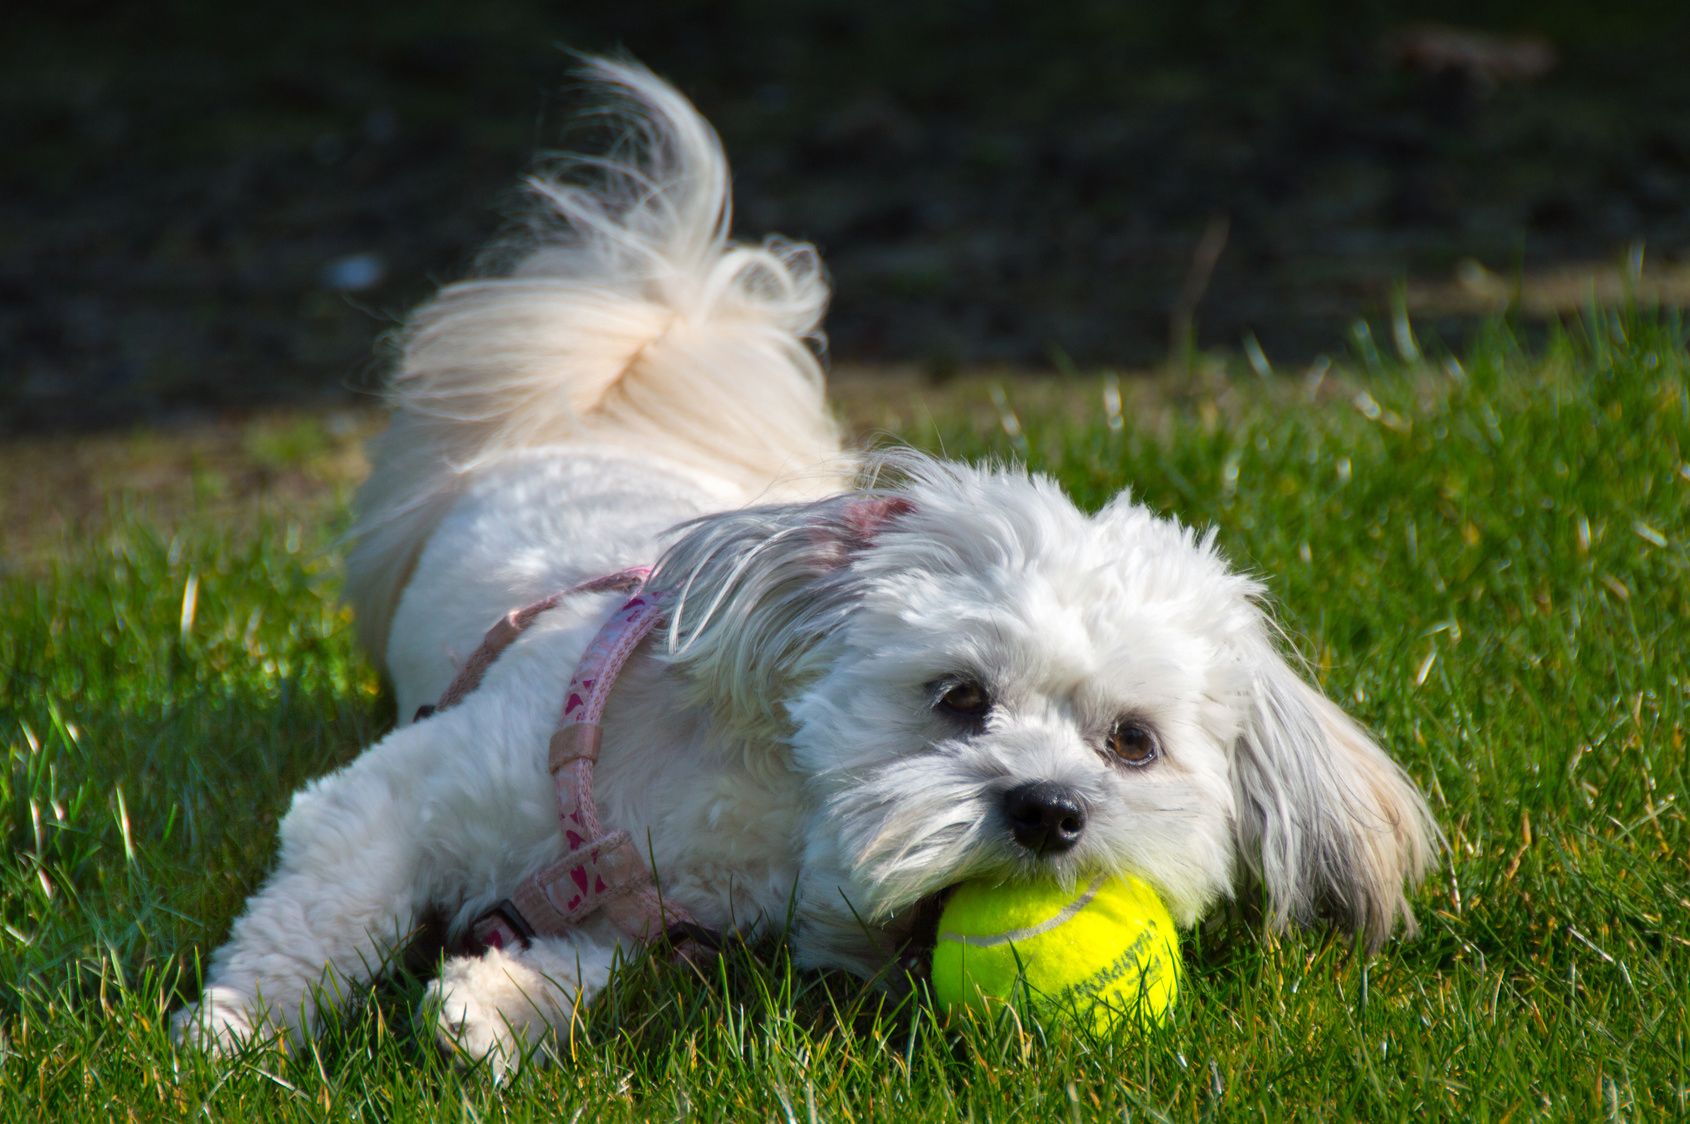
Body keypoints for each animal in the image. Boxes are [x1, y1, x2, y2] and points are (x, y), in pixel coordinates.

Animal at [171, 61, 1439, 1068]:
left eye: (1132, 741)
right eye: (957, 696)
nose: (1048, 808)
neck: (750, 817)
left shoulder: (673, 928)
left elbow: (599, 964)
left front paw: (500, 1005)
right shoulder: (391, 801)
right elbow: (315, 918)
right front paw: (235, 1032)